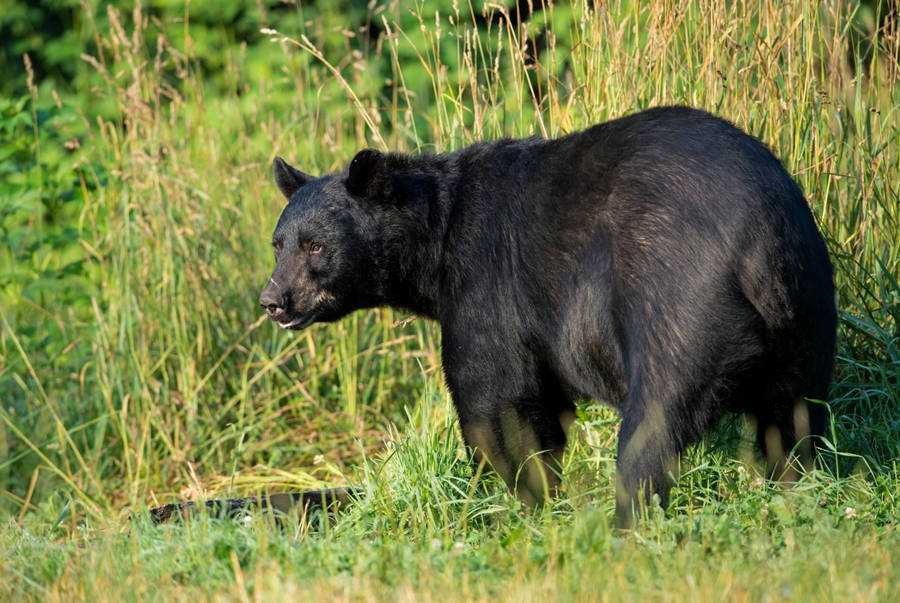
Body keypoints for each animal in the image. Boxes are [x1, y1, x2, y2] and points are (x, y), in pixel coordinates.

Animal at [258, 106, 837, 527]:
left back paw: (626, 521)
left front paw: (516, 499)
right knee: (795, 418)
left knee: (654, 422)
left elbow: (496, 399)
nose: (273, 300)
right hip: (807, 314)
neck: (436, 241)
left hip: (676, 303)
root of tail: (758, 245)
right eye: (278, 243)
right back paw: (796, 488)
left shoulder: (488, 283)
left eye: (315, 246)